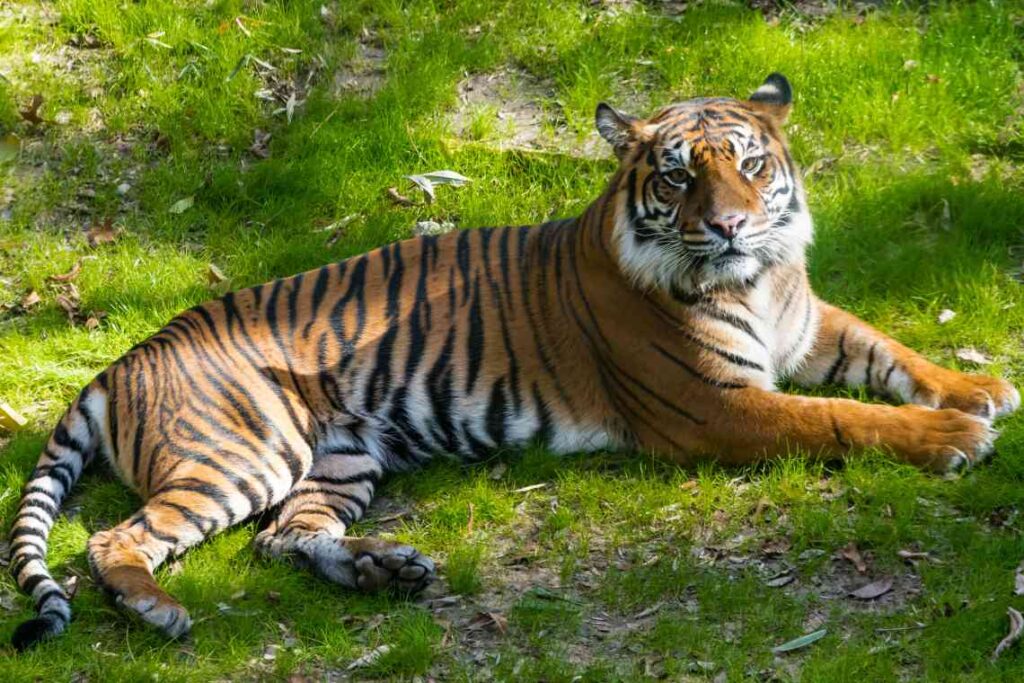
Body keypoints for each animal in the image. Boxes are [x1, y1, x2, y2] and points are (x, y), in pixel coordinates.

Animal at [8, 72, 1015, 651]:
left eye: (751, 165)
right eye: (680, 175)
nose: (731, 225)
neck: (759, 280)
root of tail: (125, 357)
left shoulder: (807, 326)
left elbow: (887, 350)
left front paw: (980, 386)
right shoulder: (719, 405)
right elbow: (847, 416)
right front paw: (954, 436)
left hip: (341, 455)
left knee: (283, 536)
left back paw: (387, 569)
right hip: (241, 451)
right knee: (115, 538)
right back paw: (158, 610)